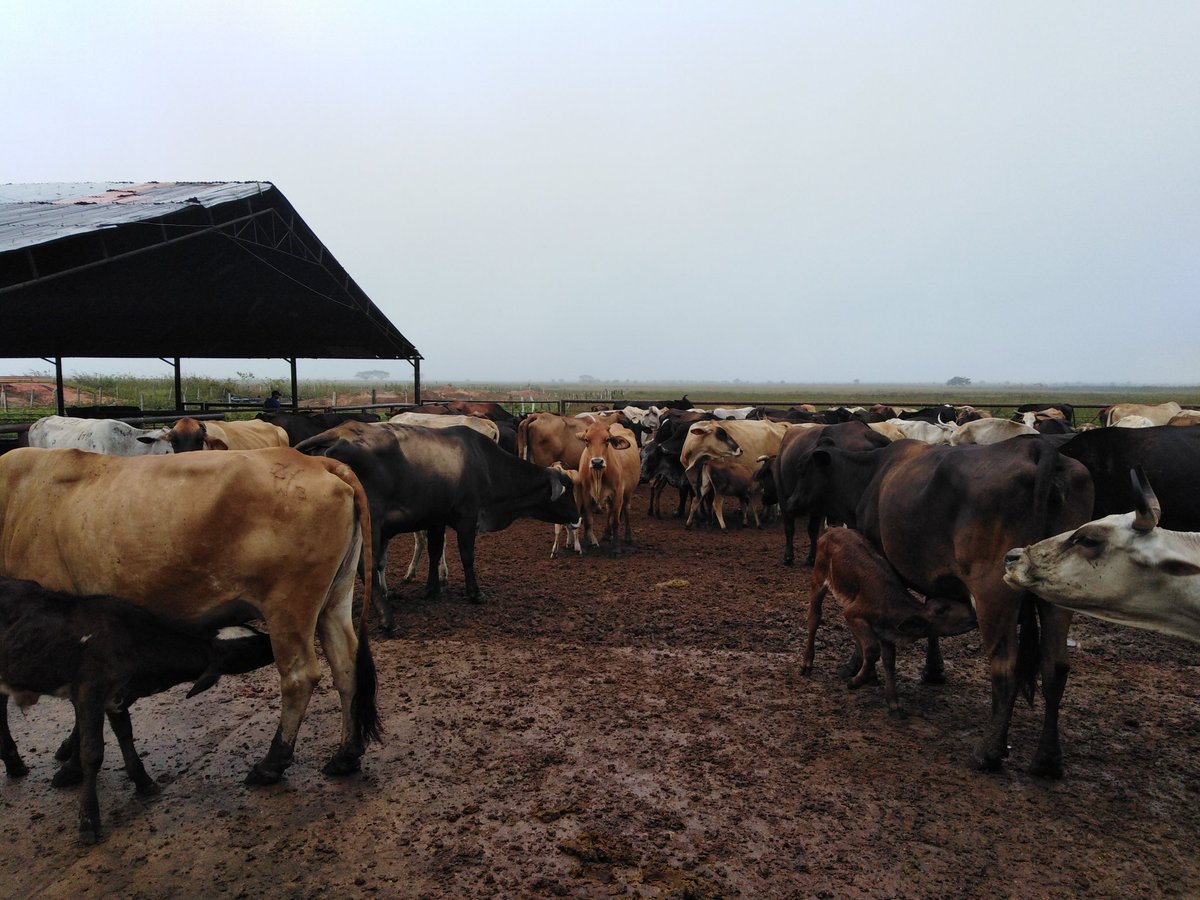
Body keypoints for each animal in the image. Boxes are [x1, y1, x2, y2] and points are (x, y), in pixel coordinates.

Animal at [0, 446, 380, 786]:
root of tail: (317, 462)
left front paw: (65, 766)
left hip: (288, 606)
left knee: (299, 677)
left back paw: (272, 763)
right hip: (334, 599)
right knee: (346, 666)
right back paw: (346, 754)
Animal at [0, 577, 274, 843]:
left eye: (252, 631)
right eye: (246, 650)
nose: (273, 643)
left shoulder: (116, 697)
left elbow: (125, 733)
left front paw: (143, 781)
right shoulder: (89, 694)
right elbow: (93, 753)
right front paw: (88, 821)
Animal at [295, 422, 579, 631]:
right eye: (567, 491)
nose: (577, 518)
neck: (484, 464)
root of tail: (336, 432)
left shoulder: (436, 519)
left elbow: (434, 552)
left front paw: (432, 589)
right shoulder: (467, 517)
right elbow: (467, 556)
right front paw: (475, 593)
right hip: (371, 523)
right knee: (368, 565)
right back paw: (387, 617)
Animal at [576, 422, 640, 553]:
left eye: (607, 440)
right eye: (586, 439)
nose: (597, 462)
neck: (598, 475)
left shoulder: (618, 492)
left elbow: (615, 521)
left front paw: (616, 548)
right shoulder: (585, 492)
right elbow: (588, 520)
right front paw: (585, 544)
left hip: (628, 492)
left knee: (626, 510)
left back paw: (628, 536)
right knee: (609, 509)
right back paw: (606, 533)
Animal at [803, 529, 978, 714]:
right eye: (942, 610)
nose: (974, 614)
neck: (890, 605)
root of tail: (830, 531)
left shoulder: (885, 633)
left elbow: (888, 661)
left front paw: (894, 703)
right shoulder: (852, 612)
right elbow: (872, 649)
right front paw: (855, 682)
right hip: (818, 577)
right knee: (814, 617)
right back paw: (807, 663)